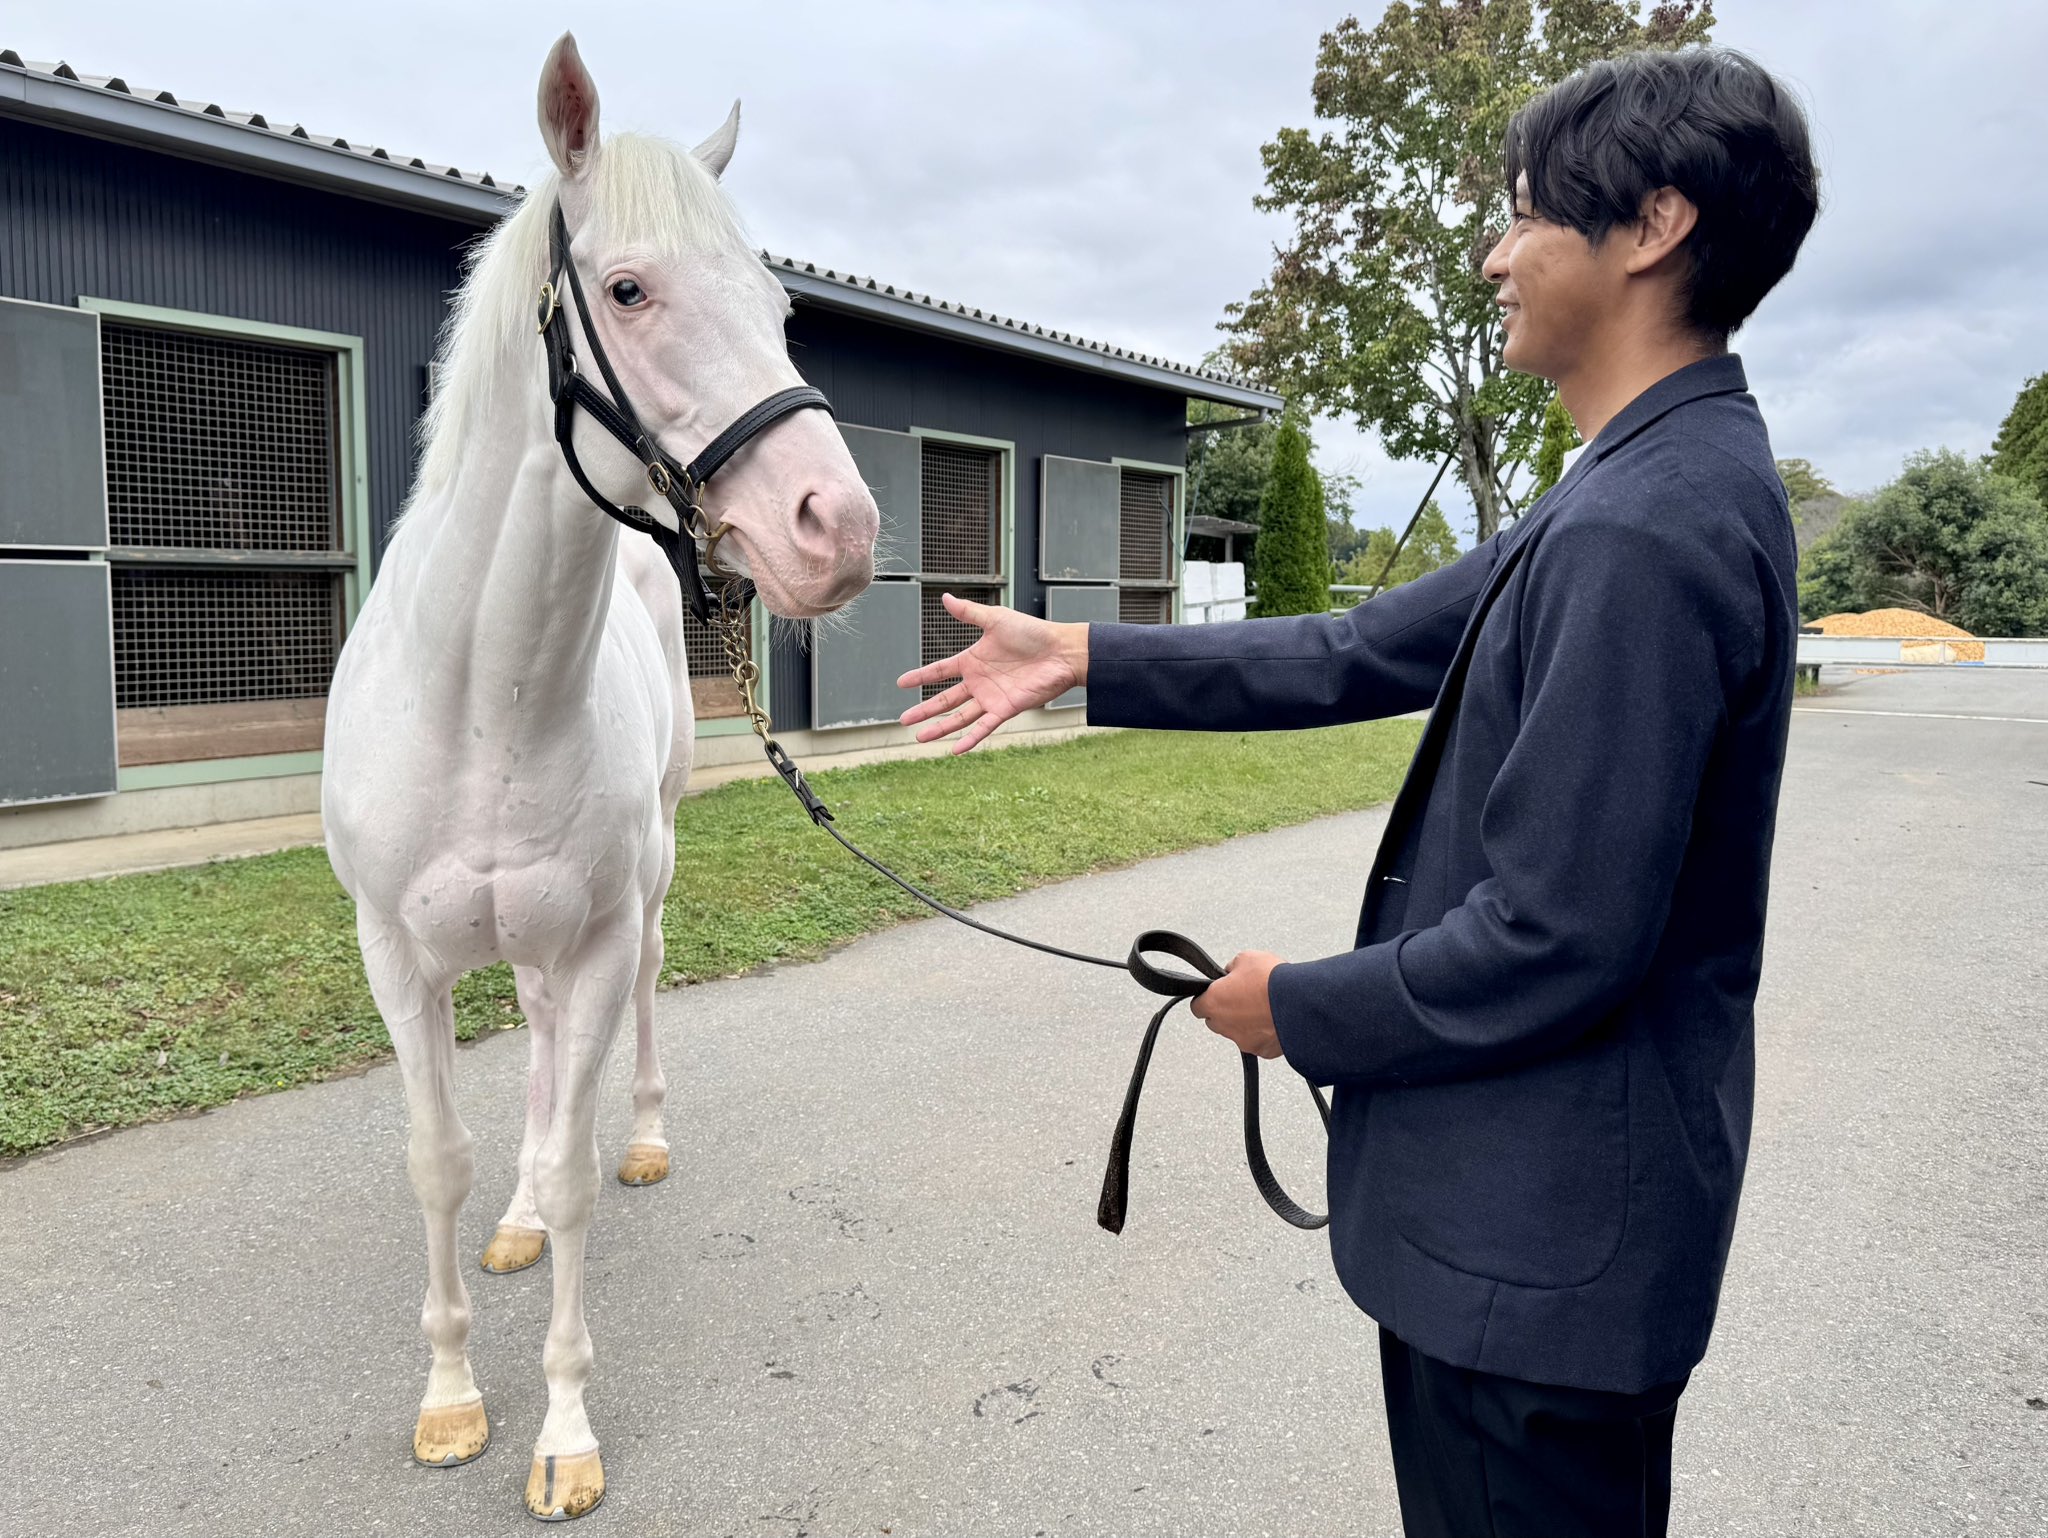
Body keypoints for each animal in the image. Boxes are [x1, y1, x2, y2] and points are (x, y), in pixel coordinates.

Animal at [322, 34, 879, 1519]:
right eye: (628, 288)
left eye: (778, 303)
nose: (839, 529)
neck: (480, 699)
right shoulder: (395, 956)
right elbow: (435, 1163)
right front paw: (452, 1397)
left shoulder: (594, 936)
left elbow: (573, 1175)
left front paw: (563, 1433)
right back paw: (510, 1219)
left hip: (636, 903)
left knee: (620, 1021)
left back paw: (638, 1137)